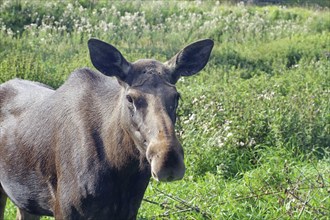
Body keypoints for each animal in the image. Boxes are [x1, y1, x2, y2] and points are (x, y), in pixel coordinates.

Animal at [0, 38, 214, 219]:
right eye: (130, 98)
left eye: (176, 96)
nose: (168, 160)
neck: (120, 167)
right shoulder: (64, 210)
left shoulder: (127, 212)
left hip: (26, 202)